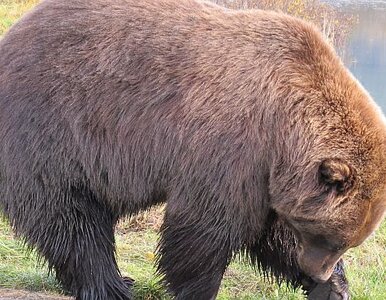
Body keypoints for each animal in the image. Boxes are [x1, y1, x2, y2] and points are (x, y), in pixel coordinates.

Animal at [0, 0, 384, 298]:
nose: (317, 271)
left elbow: (272, 232)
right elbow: (204, 230)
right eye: (331, 237)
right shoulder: (231, 145)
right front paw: (199, 288)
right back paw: (112, 285)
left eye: (348, 242)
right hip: (54, 131)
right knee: (71, 218)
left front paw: (333, 287)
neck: (285, 129)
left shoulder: (266, 175)